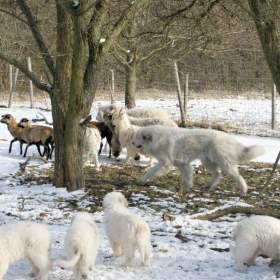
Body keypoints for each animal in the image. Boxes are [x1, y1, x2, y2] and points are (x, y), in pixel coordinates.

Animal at [132, 125, 264, 195]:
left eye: (137, 138)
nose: (132, 143)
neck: (156, 139)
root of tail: (228, 137)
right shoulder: (182, 164)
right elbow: (188, 176)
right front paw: (188, 187)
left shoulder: (165, 163)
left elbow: (151, 171)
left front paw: (142, 180)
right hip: (207, 162)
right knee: (217, 174)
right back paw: (209, 186)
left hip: (224, 164)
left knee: (237, 176)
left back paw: (243, 190)